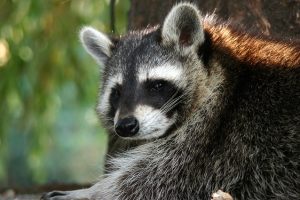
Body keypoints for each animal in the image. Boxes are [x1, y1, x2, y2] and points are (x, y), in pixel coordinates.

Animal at [42, 2, 300, 200]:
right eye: (117, 92)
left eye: (156, 85)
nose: (125, 126)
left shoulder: (220, 138)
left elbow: (154, 182)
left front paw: (92, 192)